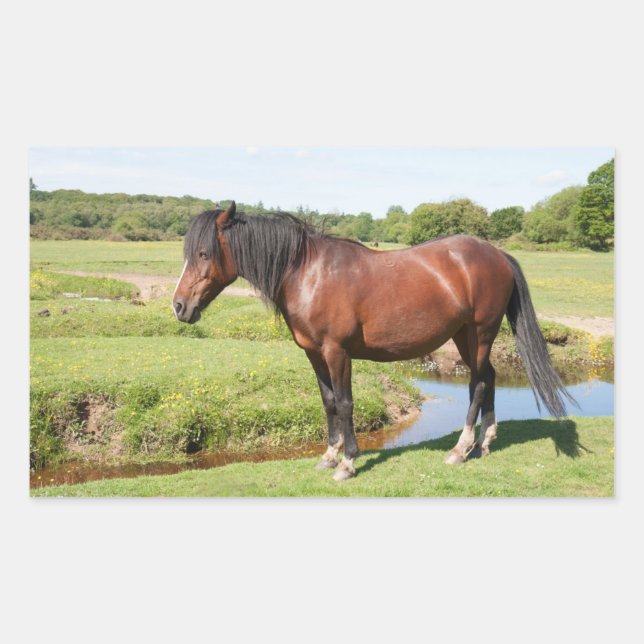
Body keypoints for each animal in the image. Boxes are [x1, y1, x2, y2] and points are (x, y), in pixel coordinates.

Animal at [173, 202, 576, 480]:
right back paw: (485, 443)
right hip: (465, 336)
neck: (307, 274)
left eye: (204, 254)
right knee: (489, 377)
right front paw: (329, 456)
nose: (179, 306)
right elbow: (329, 403)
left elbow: (346, 404)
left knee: (477, 384)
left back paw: (461, 449)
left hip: (479, 334)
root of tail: (498, 254)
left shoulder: (337, 353)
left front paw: (348, 462)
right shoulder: (314, 354)